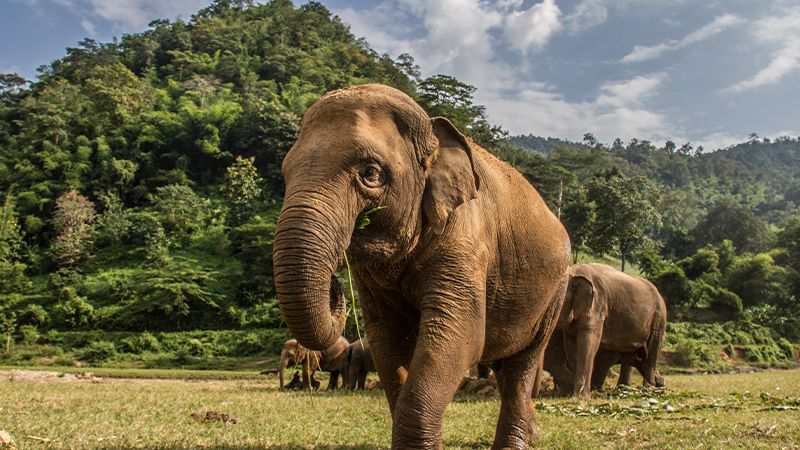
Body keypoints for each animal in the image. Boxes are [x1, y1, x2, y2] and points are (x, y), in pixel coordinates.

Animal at [272, 83, 571, 449]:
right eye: (286, 173)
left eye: (371, 173)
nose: (335, 285)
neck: (431, 131)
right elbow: (387, 340)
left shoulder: (466, 240)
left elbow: (462, 336)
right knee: (505, 365)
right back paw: (532, 432)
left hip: (555, 292)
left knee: (521, 366)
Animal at [554, 263, 667, 398]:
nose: (661, 381)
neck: (576, 271)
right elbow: (570, 345)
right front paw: (572, 394)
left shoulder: (597, 306)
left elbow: (589, 341)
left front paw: (580, 397)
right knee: (629, 355)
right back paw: (623, 389)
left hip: (658, 319)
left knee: (651, 353)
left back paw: (648, 390)